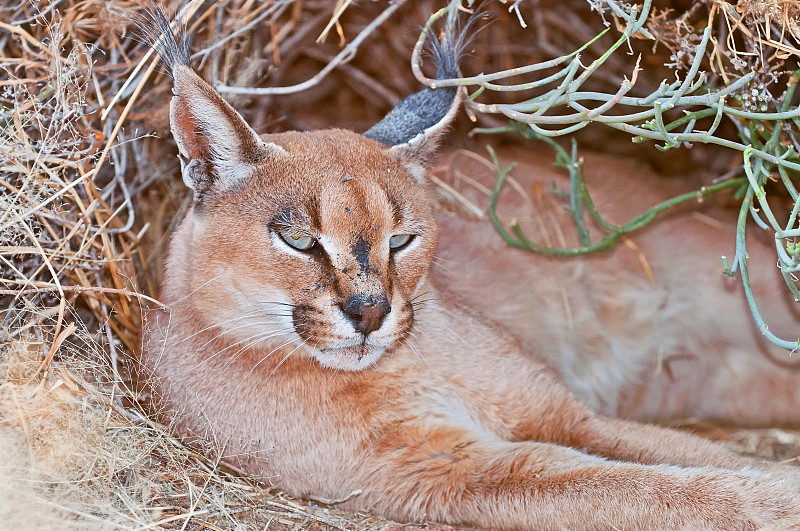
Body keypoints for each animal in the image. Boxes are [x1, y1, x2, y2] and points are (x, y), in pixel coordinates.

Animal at [144, 5, 800, 531]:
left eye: (402, 240)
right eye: (298, 239)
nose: (370, 311)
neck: (395, 371)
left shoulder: (560, 413)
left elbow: (693, 462)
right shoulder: (454, 468)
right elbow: (633, 487)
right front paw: (775, 501)